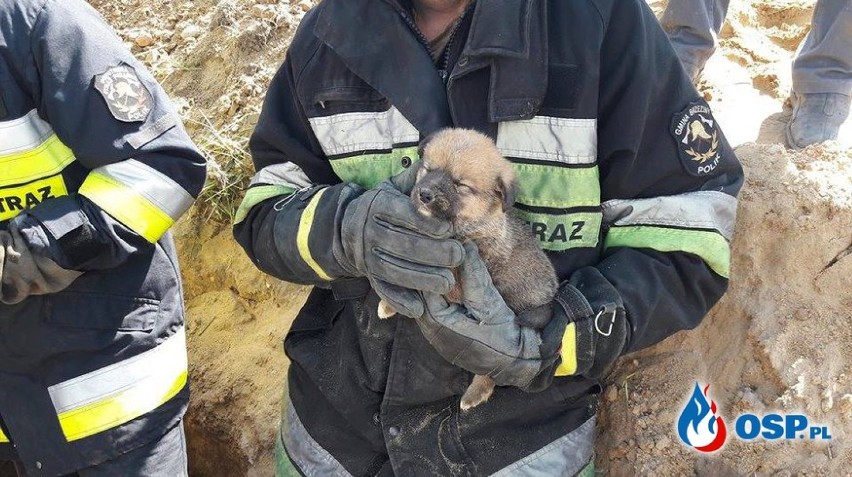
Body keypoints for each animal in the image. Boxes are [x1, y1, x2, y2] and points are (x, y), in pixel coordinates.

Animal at [380, 128, 560, 410]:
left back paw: (476, 393)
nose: (424, 194)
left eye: (461, 185)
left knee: (494, 368)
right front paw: (389, 303)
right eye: (428, 169)